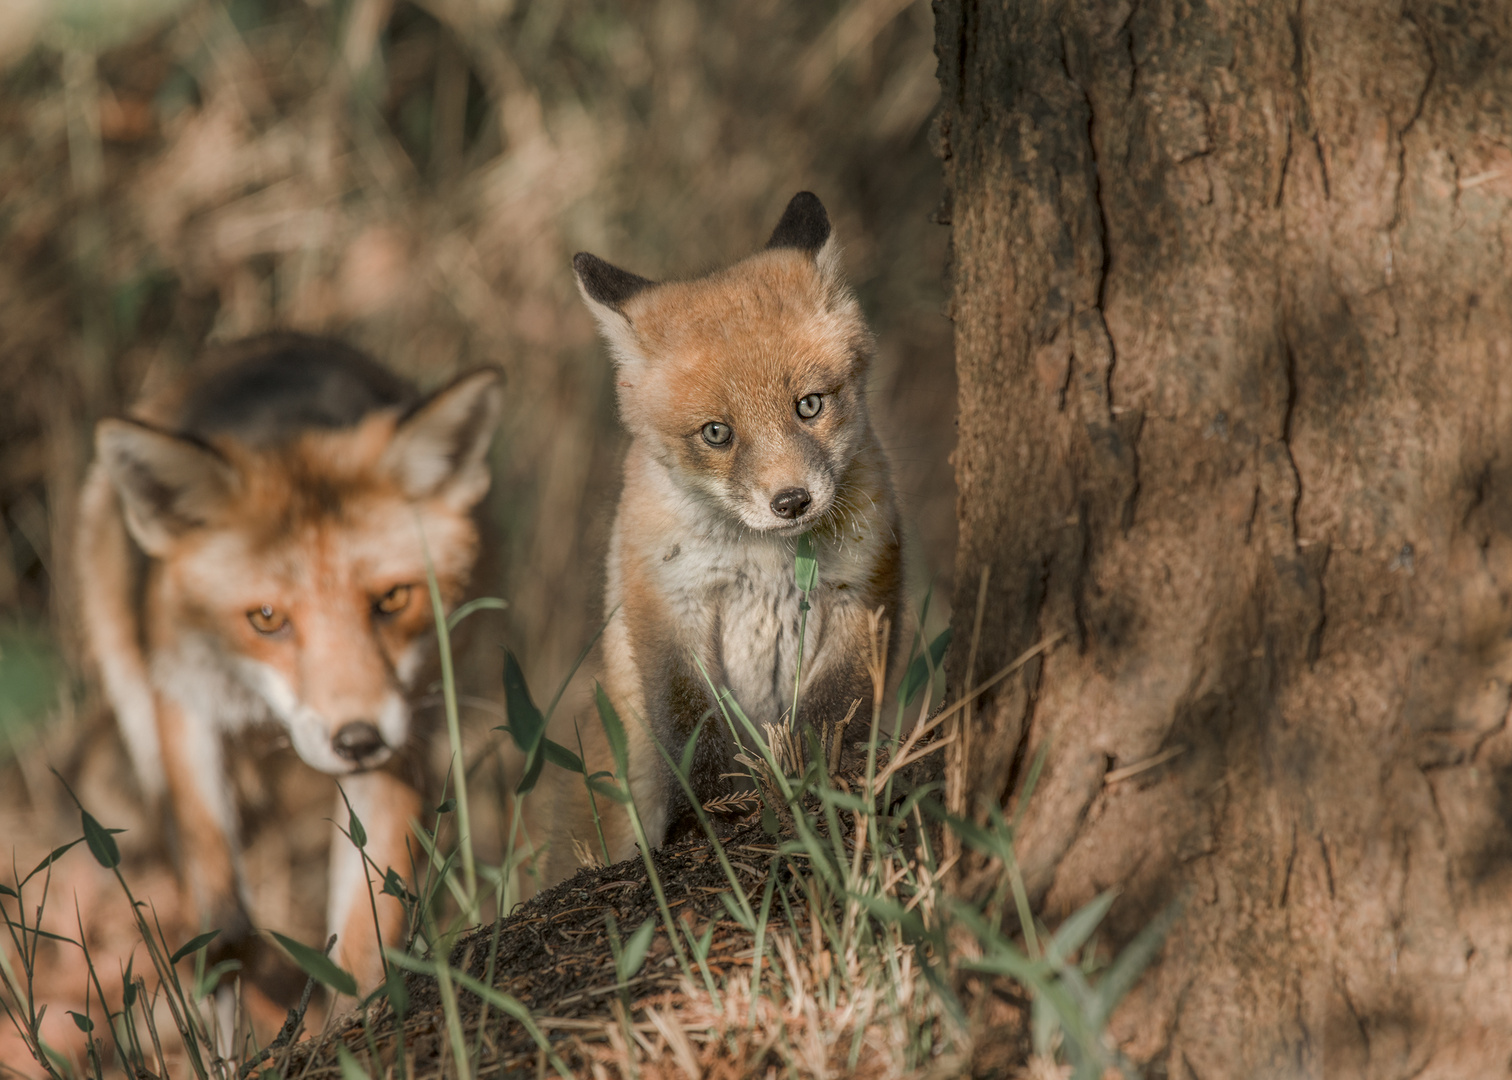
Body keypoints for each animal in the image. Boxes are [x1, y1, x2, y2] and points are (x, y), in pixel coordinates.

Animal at [75, 332, 508, 998]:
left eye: (393, 599)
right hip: (137, 704)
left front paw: (362, 1016)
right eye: (266, 618)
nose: (357, 740)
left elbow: (361, 941)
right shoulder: (186, 701)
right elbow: (223, 923)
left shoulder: (404, 729)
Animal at [562, 191, 901, 865]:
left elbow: (832, 712)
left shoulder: (864, 592)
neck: (766, 561)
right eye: (717, 433)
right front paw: (706, 823)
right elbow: (694, 730)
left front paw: (813, 783)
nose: (791, 501)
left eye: (809, 405)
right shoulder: (668, 605)